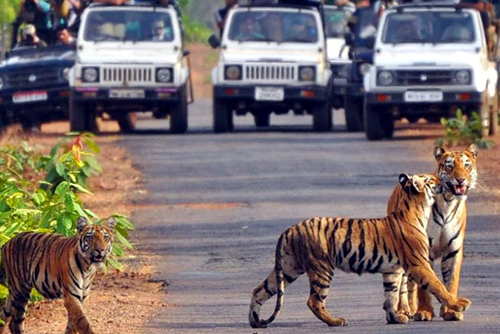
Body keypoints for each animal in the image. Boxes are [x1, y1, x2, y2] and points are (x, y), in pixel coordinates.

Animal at [248, 175, 470, 328]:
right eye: (430, 180)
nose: (442, 180)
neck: (418, 210)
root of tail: (290, 229)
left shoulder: (393, 270)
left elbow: (391, 294)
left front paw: (394, 318)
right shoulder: (419, 264)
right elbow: (438, 285)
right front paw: (459, 304)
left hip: (289, 268)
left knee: (259, 290)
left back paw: (255, 321)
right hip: (321, 268)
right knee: (314, 301)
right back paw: (336, 321)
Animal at [384, 145, 478, 322]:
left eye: (467, 165)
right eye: (450, 166)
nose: (461, 179)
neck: (448, 202)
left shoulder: (453, 250)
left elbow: (450, 282)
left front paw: (451, 311)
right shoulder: (422, 250)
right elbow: (425, 287)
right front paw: (424, 312)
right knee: (403, 283)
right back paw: (404, 310)